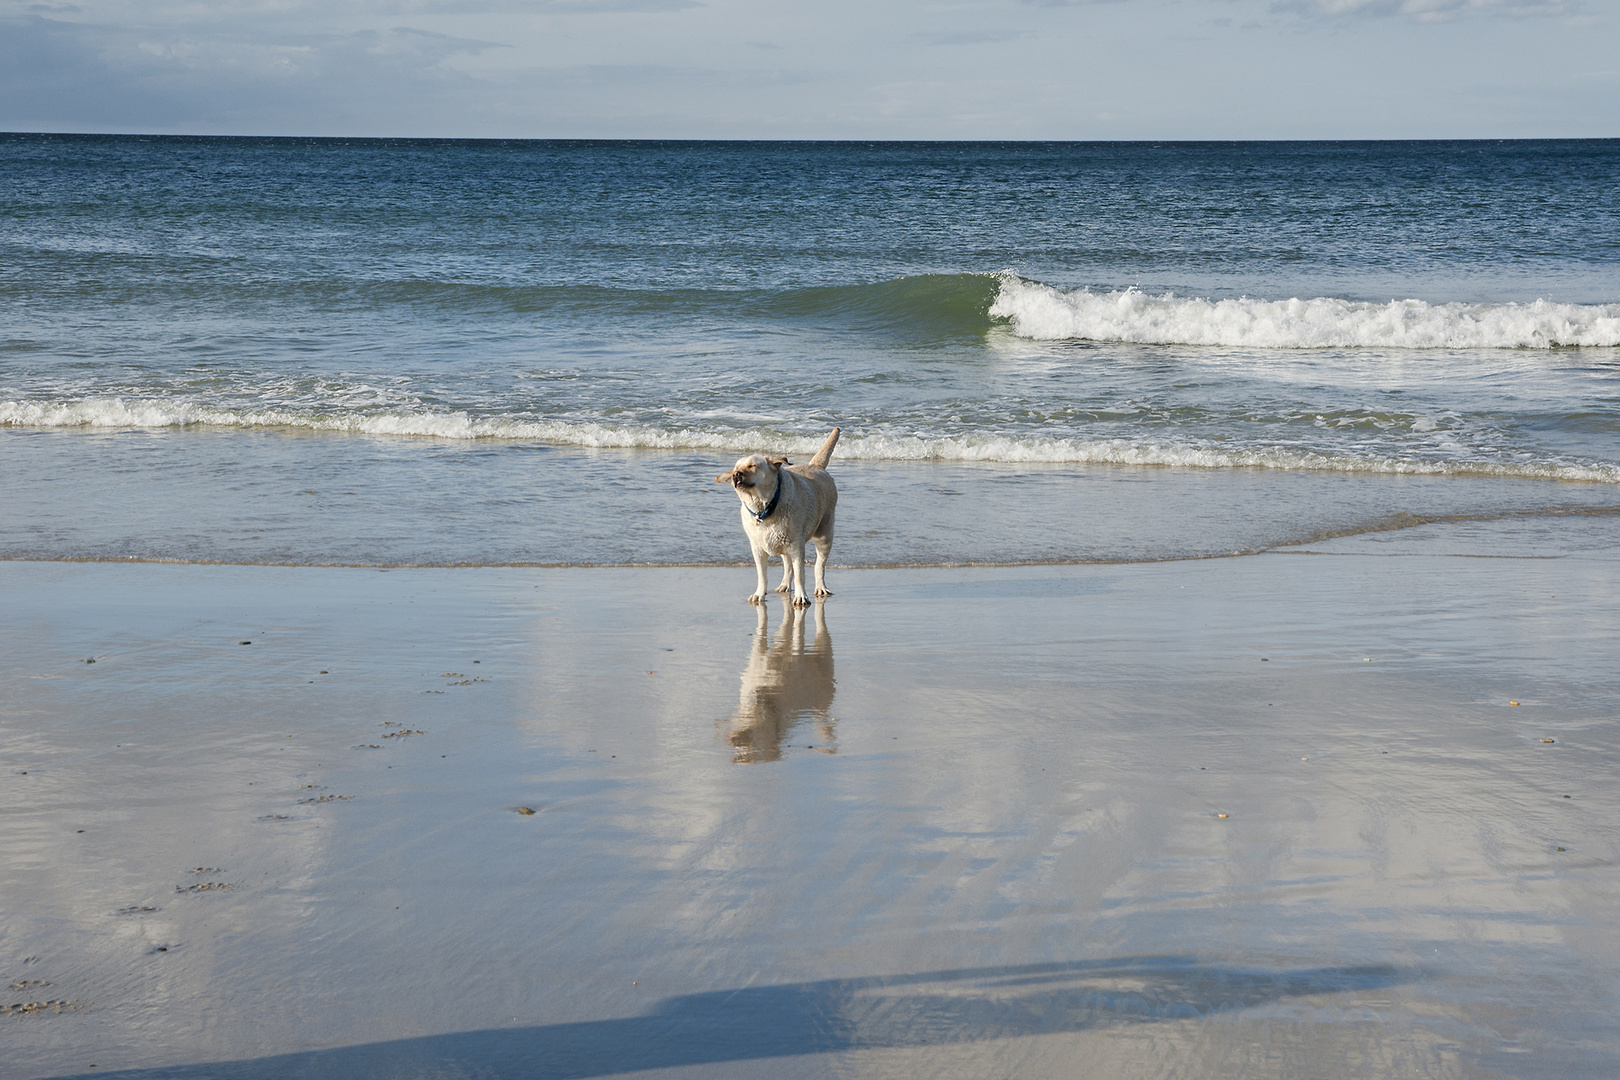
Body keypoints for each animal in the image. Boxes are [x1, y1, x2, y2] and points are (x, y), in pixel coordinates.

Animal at [722, 427, 848, 605]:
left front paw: (801, 596)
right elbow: (762, 575)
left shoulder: (797, 546)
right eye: (735, 468)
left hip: (825, 535)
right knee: (788, 565)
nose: (735, 475)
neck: (765, 508)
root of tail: (815, 466)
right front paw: (759, 594)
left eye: (752, 465)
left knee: (819, 565)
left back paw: (820, 588)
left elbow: (800, 574)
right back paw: (784, 585)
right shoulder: (758, 548)